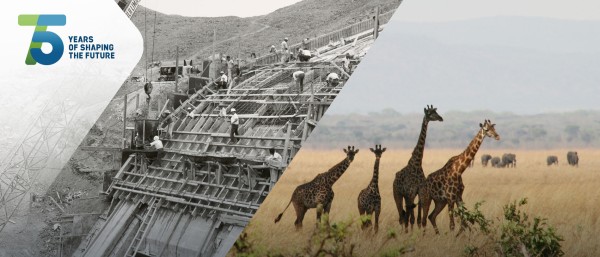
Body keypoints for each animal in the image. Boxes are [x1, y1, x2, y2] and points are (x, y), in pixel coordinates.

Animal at [392, 104, 442, 232]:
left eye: (436, 112)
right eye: (429, 113)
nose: (441, 118)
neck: (417, 163)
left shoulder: (419, 192)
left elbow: (419, 219)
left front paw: (419, 231)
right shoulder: (410, 192)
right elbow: (412, 219)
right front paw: (411, 233)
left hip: (407, 196)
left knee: (405, 214)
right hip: (397, 195)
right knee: (402, 216)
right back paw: (403, 231)